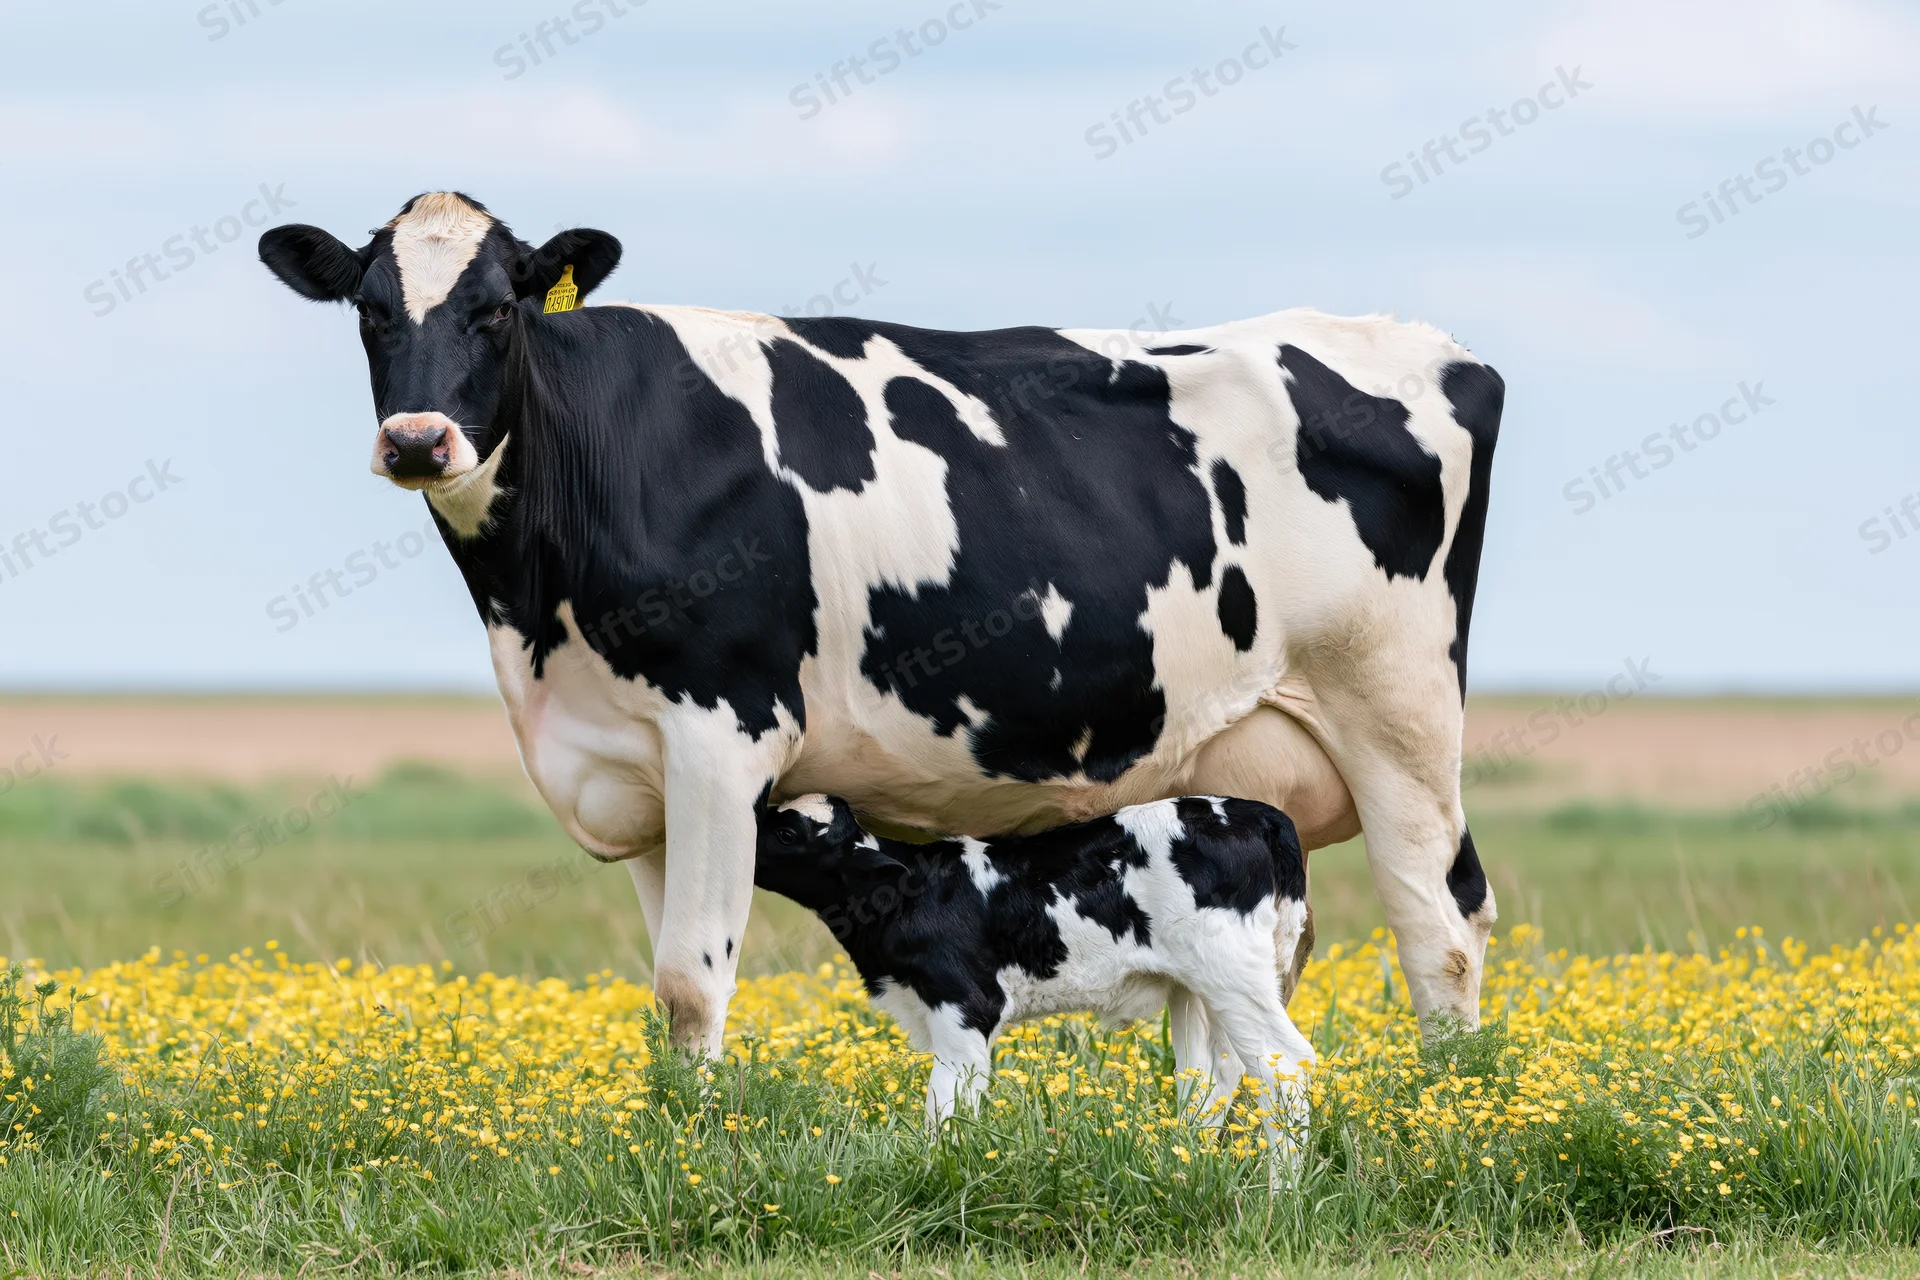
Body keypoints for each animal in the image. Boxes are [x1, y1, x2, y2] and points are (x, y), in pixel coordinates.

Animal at [257, 191, 1504, 1059]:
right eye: (371, 310)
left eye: (499, 307)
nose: (419, 439)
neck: (538, 615)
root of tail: (1433, 347)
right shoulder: (629, 762)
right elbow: (663, 983)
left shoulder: (722, 732)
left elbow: (693, 981)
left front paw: (700, 1153)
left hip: (1397, 716)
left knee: (1440, 923)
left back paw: (1444, 1106)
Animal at [753, 791, 1316, 1160]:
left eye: (786, 832)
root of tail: (1261, 813)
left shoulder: (967, 1007)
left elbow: (944, 1108)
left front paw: (936, 1174)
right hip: (1198, 987)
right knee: (1210, 1074)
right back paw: (1188, 1165)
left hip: (1229, 971)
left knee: (1284, 1063)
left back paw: (1281, 1195)